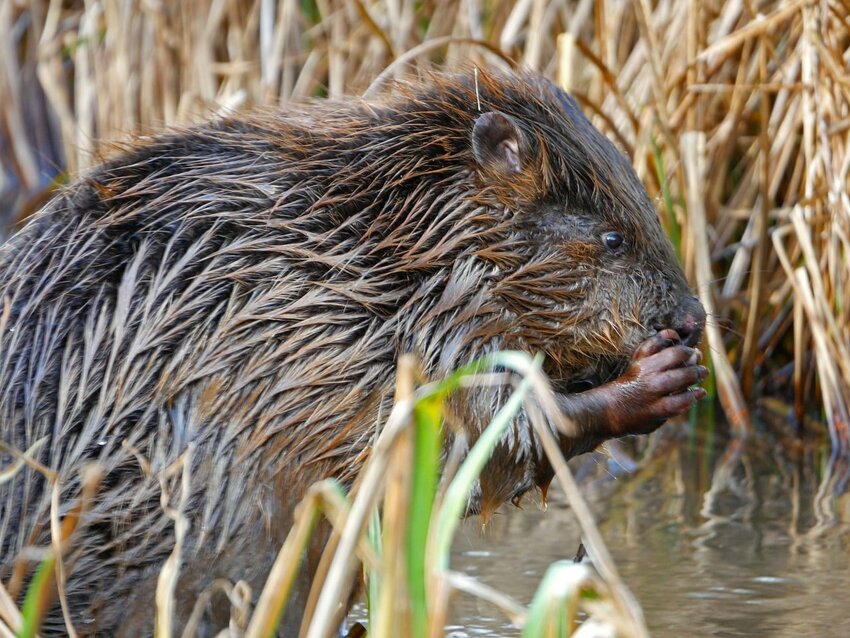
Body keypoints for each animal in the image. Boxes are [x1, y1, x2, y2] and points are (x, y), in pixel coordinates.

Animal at [0, 67, 704, 636]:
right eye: (613, 239)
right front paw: (658, 380)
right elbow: (474, 433)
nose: (693, 321)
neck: (376, 241)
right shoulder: (364, 338)